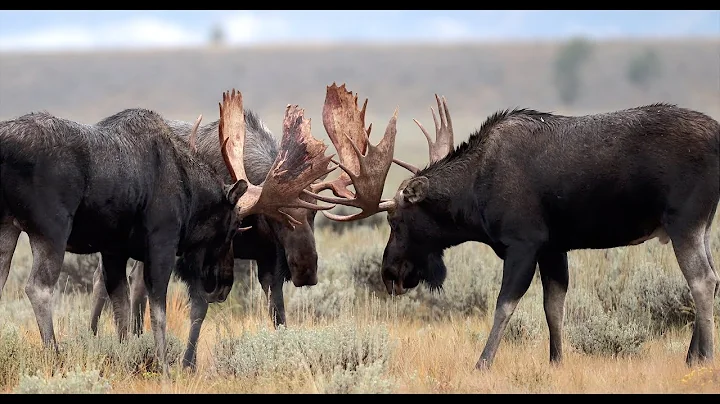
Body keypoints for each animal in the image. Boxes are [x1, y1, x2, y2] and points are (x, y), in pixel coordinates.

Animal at [89, 106, 328, 335]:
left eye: (314, 212)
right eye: (276, 216)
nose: (306, 269)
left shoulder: (269, 260)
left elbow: (278, 313)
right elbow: (199, 309)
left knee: (134, 281)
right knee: (103, 278)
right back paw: (95, 334)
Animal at [308, 83, 720, 370]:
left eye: (395, 219)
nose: (389, 273)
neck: (473, 196)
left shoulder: (523, 243)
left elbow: (504, 304)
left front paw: (482, 362)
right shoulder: (554, 246)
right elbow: (554, 306)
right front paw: (556, 362)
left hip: (684, 220)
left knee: (702, 280)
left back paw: (705, 358)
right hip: (701, 225)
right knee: (711, 278)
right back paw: (691, 355)